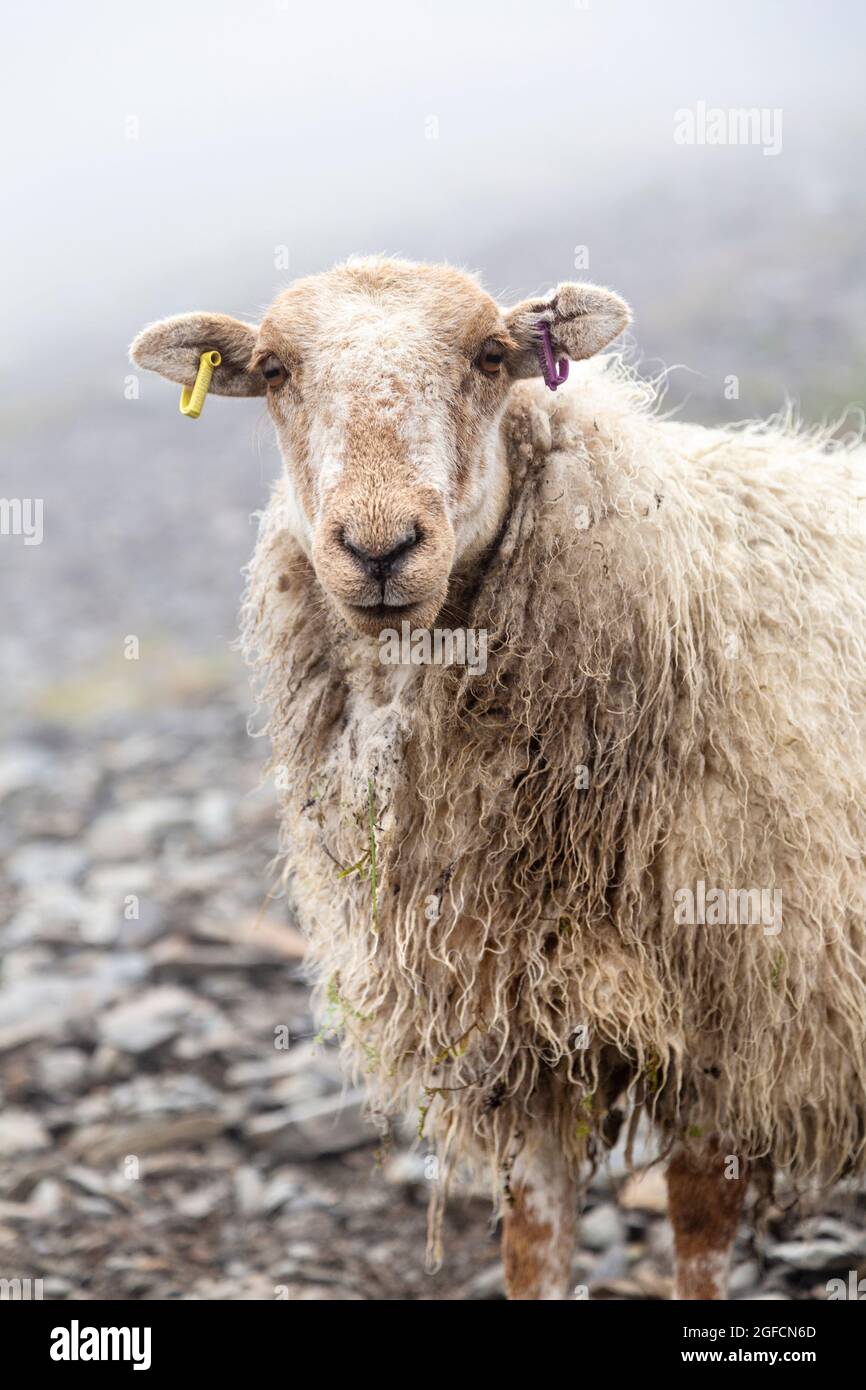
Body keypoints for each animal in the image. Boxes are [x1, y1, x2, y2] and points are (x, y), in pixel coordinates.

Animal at [132, 258, 866, 1301]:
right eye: (272, 370)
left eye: (489, 355)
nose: (380, 547)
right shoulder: (515, 1024)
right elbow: (534, 1235)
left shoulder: (746, 1019)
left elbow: (697, 1229)